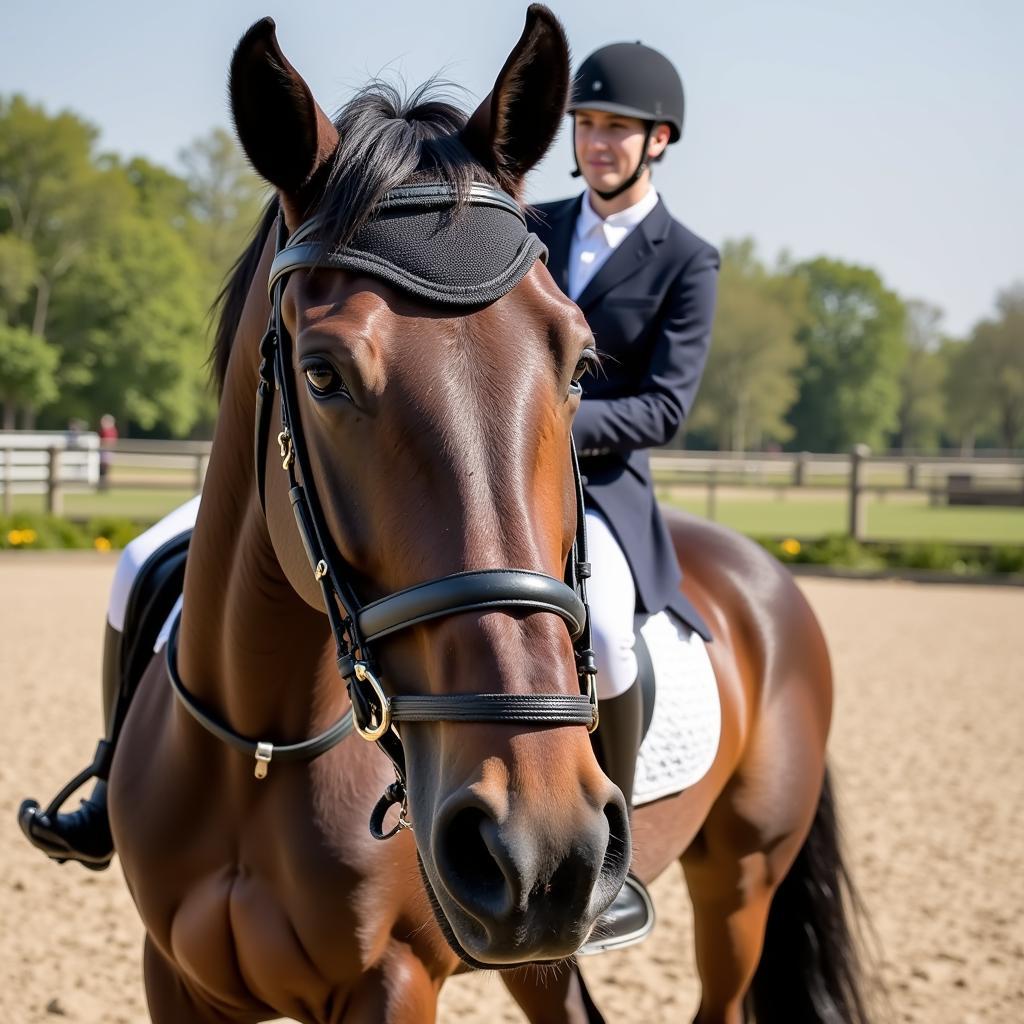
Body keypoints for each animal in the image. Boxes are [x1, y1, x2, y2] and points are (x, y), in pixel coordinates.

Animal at [88, 9, 864, 1024]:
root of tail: (765, 574)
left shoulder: (394, 980)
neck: (259, 748)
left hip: (739, 882)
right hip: (550, 942)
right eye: (322, 374)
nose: (541, 849)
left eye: (580, 365)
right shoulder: (172, 975)